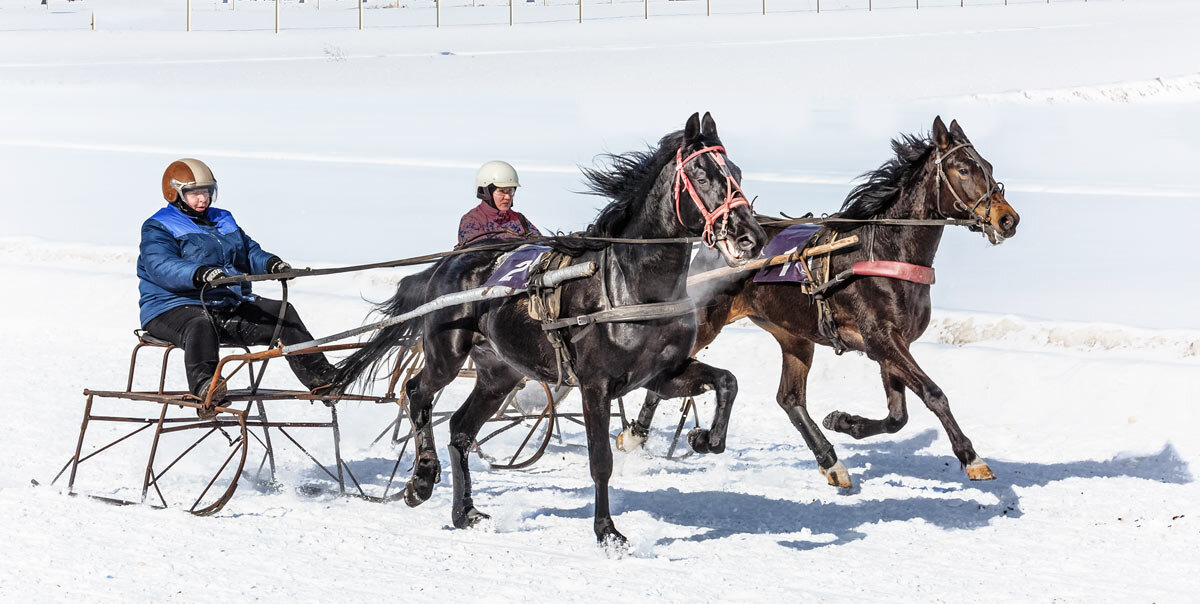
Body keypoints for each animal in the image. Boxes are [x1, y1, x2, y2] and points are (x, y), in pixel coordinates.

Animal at [336, 112, 768, 542]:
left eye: (736, 173)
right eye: (701, 174)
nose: (752, 237)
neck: (629, 288)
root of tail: (450, 261)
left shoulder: (661, 373)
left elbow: (727, 381)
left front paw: (704, 438)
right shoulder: (596, 385)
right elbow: (600, 460)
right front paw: (607, 532)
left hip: (500, 372)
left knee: (460, 428)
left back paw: (466, 512)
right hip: (447, 353)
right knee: (416, 393)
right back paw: (422, 479)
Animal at [619, 115, 1022, 489]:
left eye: (988, 166)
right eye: (964, 168)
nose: (1008, 219)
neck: (885, 252)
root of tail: (716, 241)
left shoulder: (890, 345)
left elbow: (897, 416)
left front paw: (844, 421)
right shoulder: (882, 339)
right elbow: (933, 393)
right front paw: (972, 458)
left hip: (794, 336)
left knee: (790, 399)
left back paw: (830, 461)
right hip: (707, 321)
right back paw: (636, 435)